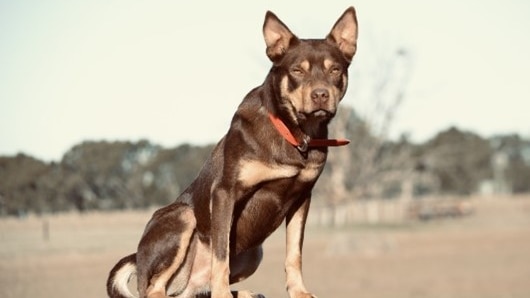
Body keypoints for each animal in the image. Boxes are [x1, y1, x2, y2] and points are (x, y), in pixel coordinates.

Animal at [105, 7, 356, 298]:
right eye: (297, 70)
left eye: (335, 69)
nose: (320, 95)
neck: (295, 134)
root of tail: (137, 256)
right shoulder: (225, 192)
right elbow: (221, 256)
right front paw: (222, 293)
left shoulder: (302, 198)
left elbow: (294, 254)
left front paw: (300, 292)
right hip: (183, 216)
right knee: (155, 288)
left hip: (253, 253)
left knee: (190, 292)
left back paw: (247, 293)